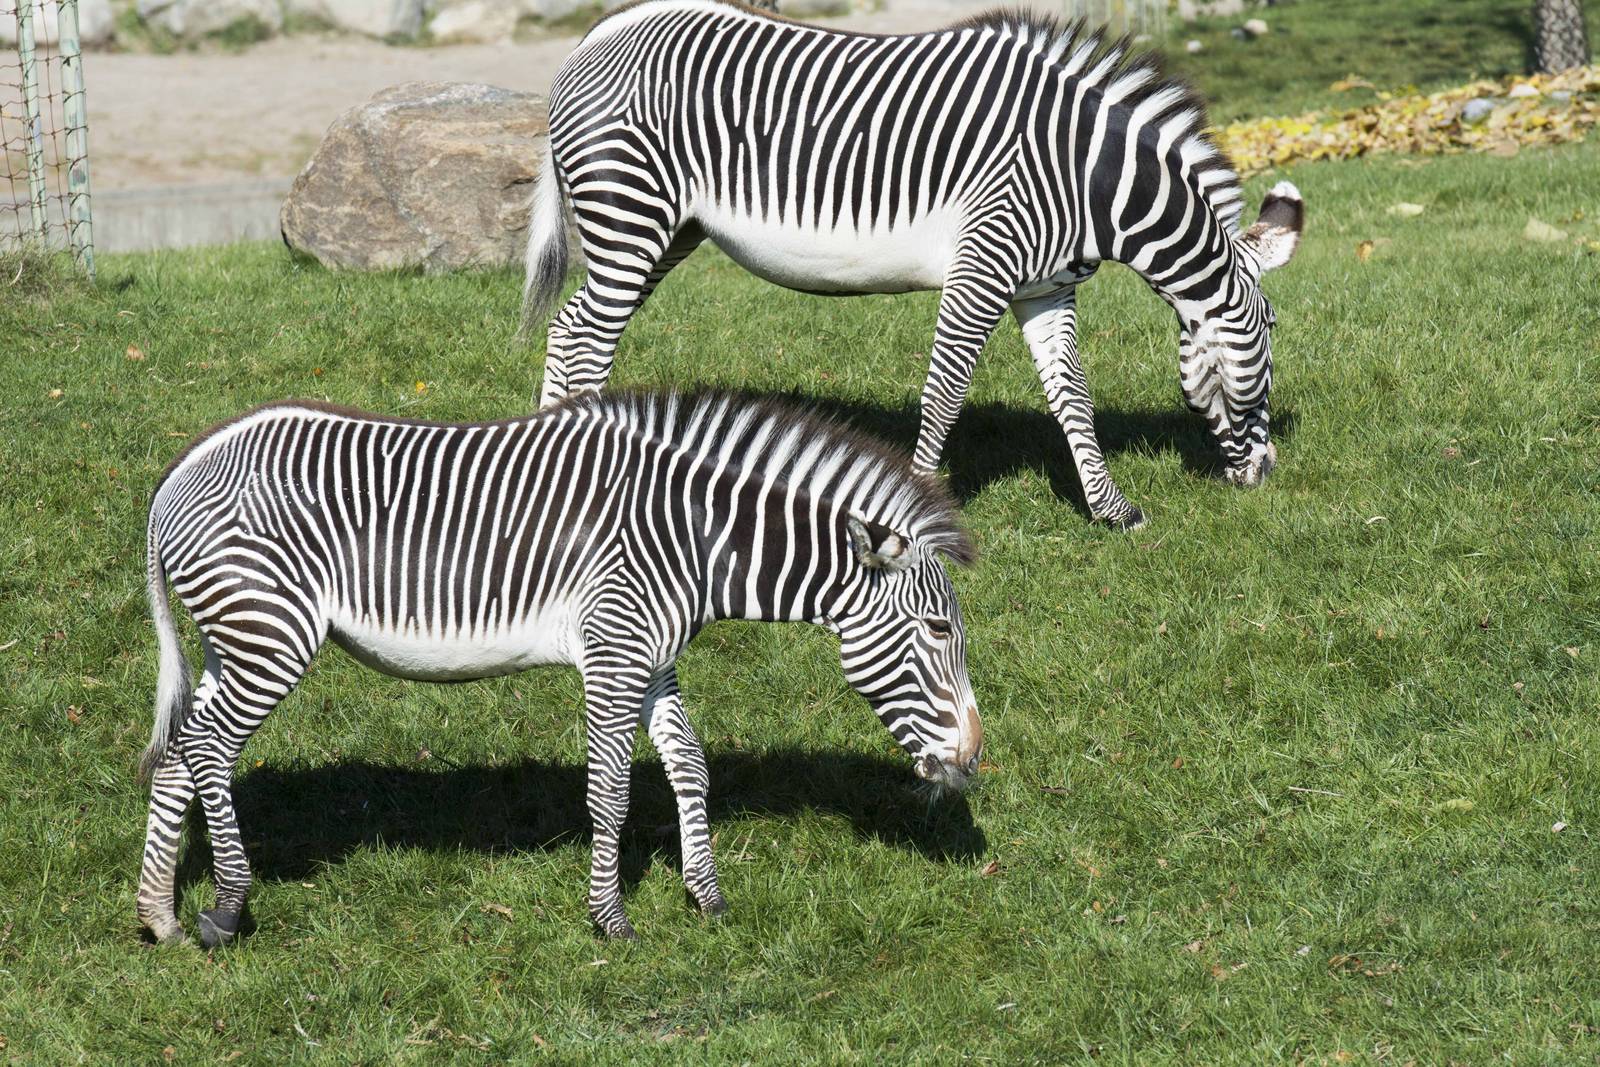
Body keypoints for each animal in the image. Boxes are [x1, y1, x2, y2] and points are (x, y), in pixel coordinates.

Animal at [137, 391, 981, 945]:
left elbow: (690, 766)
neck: (696, 536)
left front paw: (707, 897)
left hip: (231, 639)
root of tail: (177, 474)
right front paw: (612, 920)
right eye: (940, 628)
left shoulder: (653, 657)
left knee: (179, 751)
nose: (973, 758)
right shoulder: (615, 650)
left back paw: (161, 917)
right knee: (207, 748)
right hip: (270, 632)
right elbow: (609, 792)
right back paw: (226, 906)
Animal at [521, 1, 1305, 530]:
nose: (1266, 476)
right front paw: (920, 509)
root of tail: (603, 29)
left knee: (568, 329)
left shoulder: (1046, 290)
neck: (1092, 181)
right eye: (1268, 328)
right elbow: (944, 393)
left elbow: (1072, 399)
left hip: (668, 231)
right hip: (630, 214)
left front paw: (1112, 511)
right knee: (587, 337)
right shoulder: (982, 267)